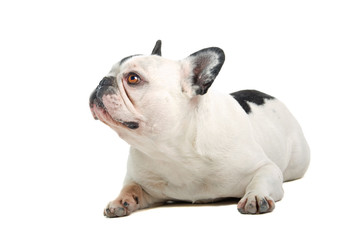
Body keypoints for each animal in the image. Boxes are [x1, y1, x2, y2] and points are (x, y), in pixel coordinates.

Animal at [89, 40, 310, 217]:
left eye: (133, 78)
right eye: (107, 73)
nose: (102, 81)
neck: (173, 149)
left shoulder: (265, 167)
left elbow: (261, 178)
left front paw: (255, 196)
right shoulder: (142, 182)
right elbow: (130, 188)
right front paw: (120, 200)